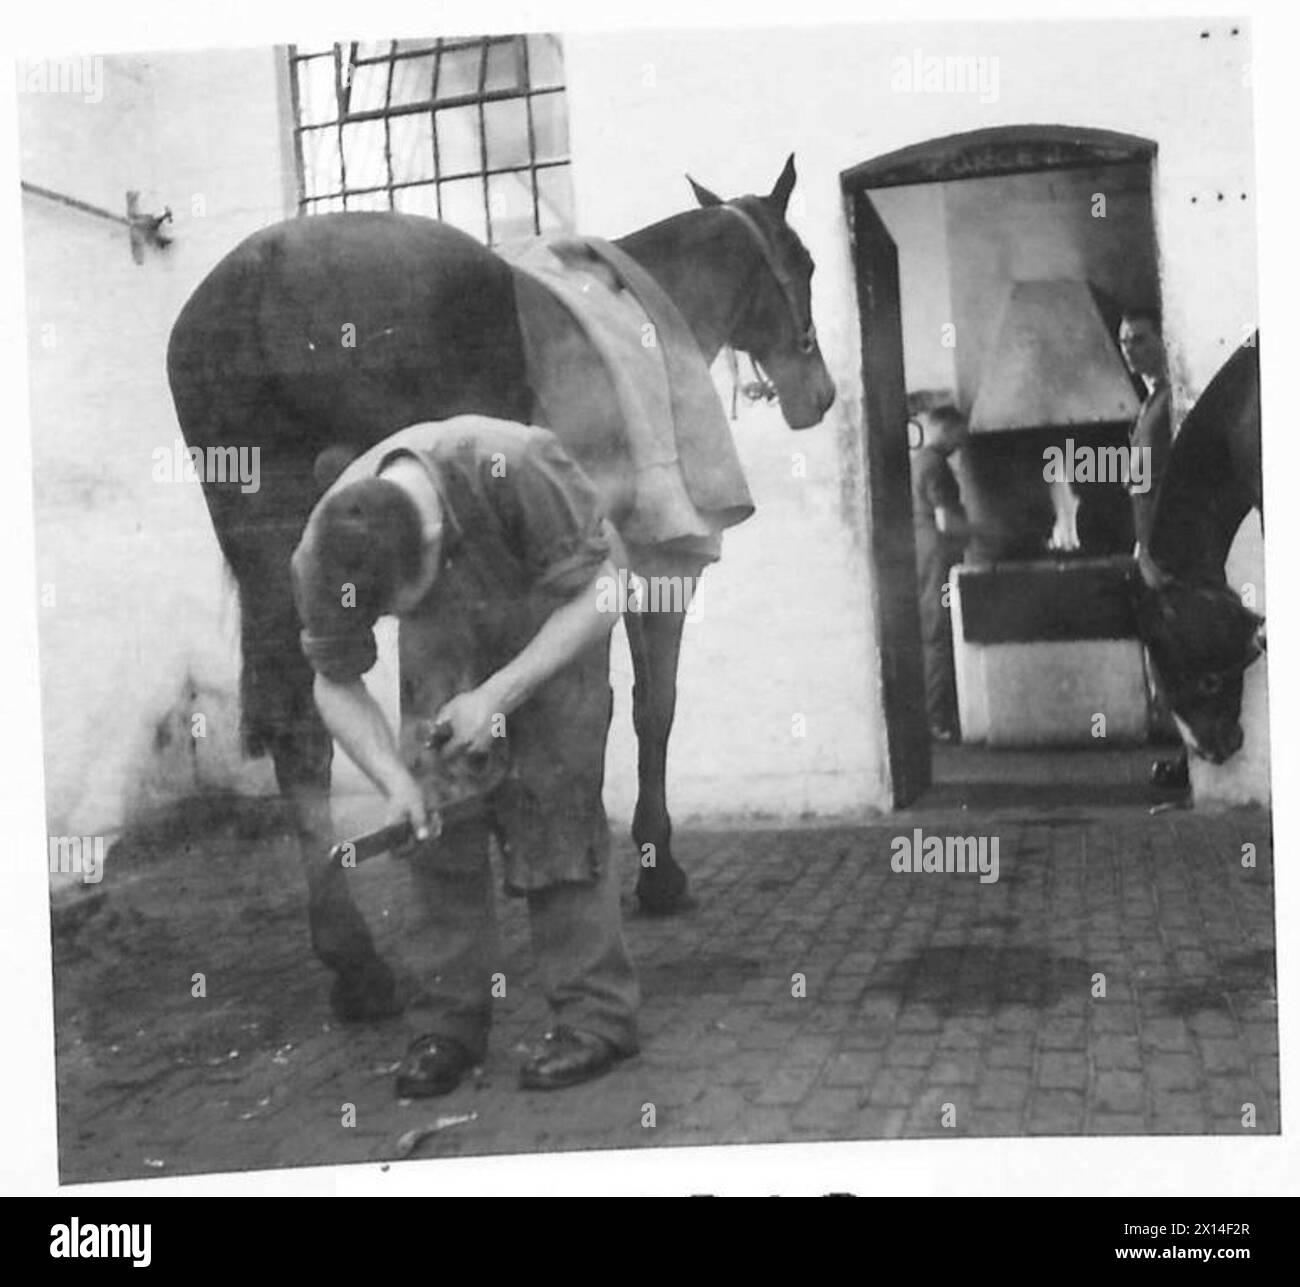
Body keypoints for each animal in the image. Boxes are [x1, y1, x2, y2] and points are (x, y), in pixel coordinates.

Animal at [167, 156, 832, 1024]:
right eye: (804, 264)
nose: (818, 391)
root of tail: (261, 269)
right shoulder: (653, 565)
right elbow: (650, 709)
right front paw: (656, 868)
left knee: (298, 731)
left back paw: (356, 963)